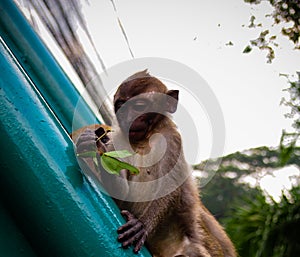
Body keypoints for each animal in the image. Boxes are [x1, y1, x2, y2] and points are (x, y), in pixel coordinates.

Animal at [73, 70, 237, 256]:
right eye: (121, 105)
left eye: (138, 106)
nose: (128, 119)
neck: (144, 139)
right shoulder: (117, 141)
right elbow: (121, 190)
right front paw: (93, 145)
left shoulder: (172, 139)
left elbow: (170, 185)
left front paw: (143, 225)